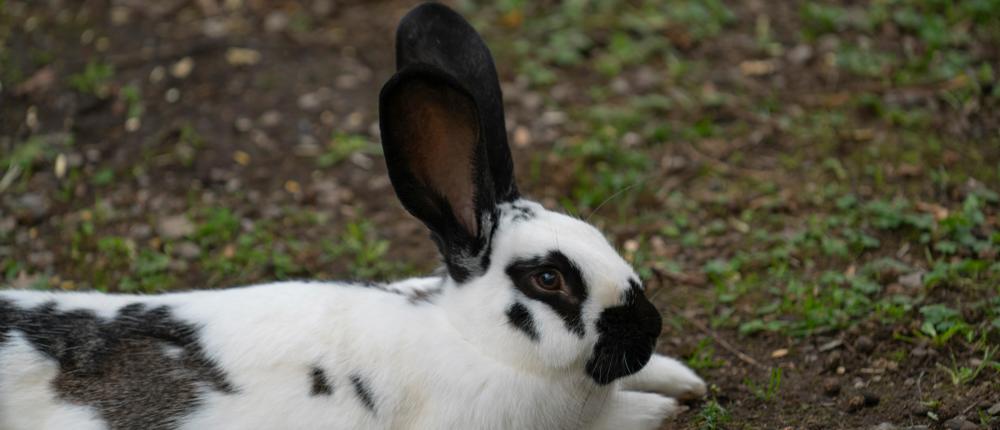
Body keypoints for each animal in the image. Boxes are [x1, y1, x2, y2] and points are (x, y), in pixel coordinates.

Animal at [0, 3, 706, 430]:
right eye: (549, 279)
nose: (650, 326)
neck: (471, 341)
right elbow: (634, 410)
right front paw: (667, 404)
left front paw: (687, 381)